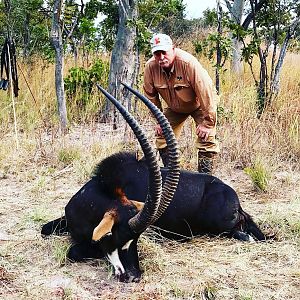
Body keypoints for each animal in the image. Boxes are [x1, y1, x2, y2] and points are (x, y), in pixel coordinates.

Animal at [41, 82, 266, 282]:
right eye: (117, 236)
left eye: (136, 240)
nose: (134, 276)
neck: (91, 201)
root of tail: (234, 199)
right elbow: (44, 229)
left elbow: (74, 251)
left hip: (219, 228)